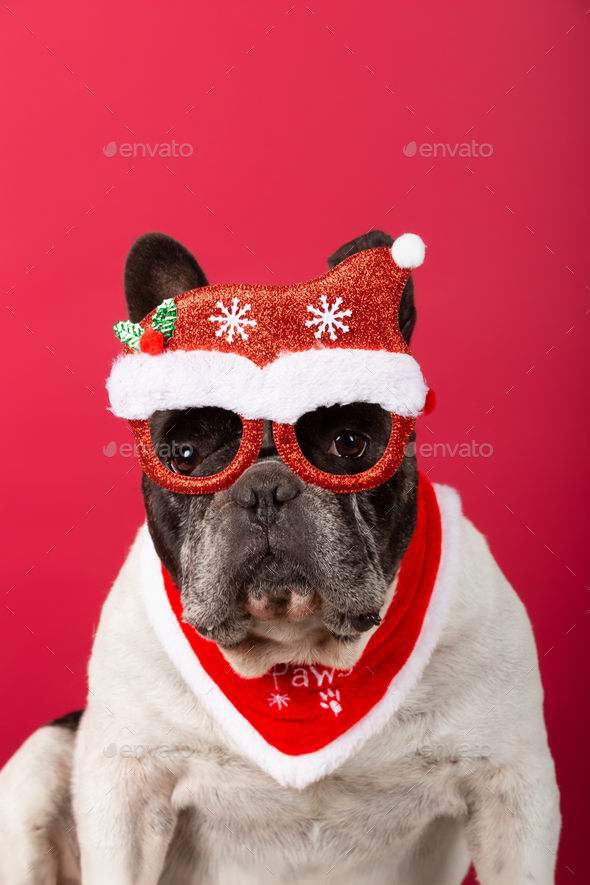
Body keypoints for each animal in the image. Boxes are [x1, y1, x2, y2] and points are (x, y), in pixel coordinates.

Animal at [0, 231, 560, 880]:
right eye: (185, 454)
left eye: (350, 443)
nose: (264, 489)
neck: (296, 656)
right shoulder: (126, 788)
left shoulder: (511, 789)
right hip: (40, 760)